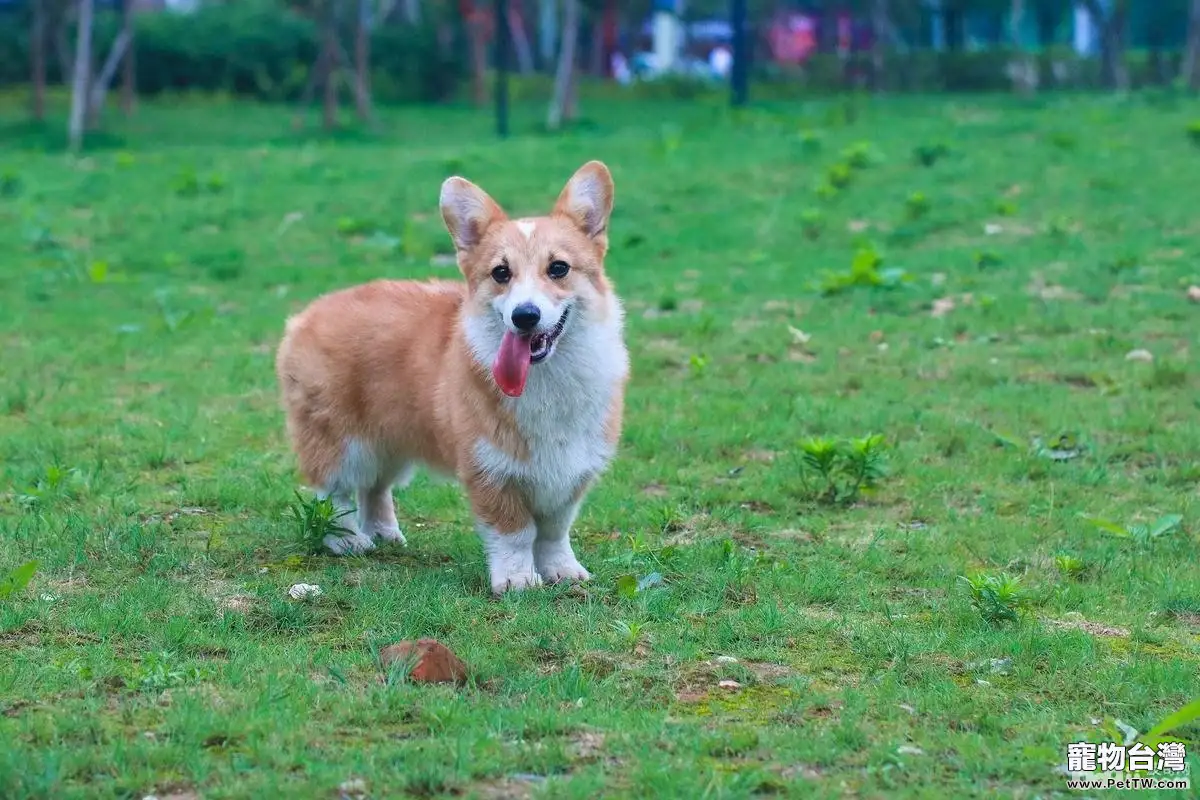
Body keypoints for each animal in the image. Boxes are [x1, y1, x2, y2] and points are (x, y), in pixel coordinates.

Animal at [273, 159, 628, 594]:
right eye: (501, 273)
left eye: (559, 268)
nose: (524, 316)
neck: (549, 378)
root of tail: (306, 315)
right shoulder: (490, 468)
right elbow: (515, 532)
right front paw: (517, 581)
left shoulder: (571, 471)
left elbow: (553, 531)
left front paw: (563, 571)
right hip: (340, 440)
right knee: (334, 490)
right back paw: (345, 540)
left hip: (391, 439)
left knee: (375, 486)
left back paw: (384, 534)